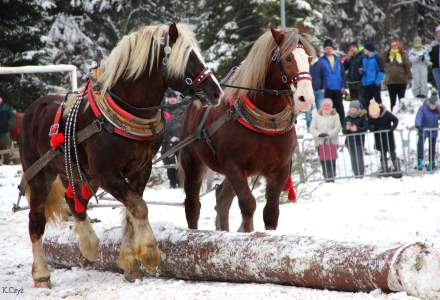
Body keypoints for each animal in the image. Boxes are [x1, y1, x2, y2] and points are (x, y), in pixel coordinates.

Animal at [18, 22, 222, 286]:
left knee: (74, 202)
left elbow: (131, 211)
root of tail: (33, 109)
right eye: (188, 57)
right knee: (36, 221)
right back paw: (42, 273)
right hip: (40, 174)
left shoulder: (141, 169)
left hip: (76, 172)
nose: (216, 92)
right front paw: (149, 254)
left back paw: (88, 247)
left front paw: (130, 263)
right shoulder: (106, 174)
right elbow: (139, 206)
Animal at [180, 27, 314, 232]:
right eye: (288, 58)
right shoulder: (233, 165)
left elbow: (271, 212)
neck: (268, 118)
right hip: (193, 162)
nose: (305, 98)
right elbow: (248, 204)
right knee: (193, 205)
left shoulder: (281, 168)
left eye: (308, 58)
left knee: (222, 198)